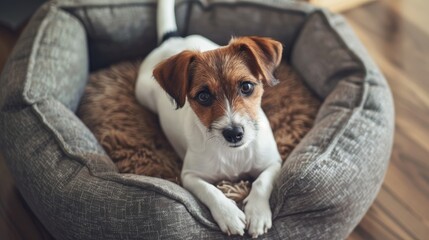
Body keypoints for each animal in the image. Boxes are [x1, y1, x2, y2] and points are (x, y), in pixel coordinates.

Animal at [134, 0, 280, 236]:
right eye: (203, 96)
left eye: (246, 87)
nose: (234, 133)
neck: (234, 155)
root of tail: (172, 39)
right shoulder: (190, 176)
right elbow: (210, 191)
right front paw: (229, 215)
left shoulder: (273, 163)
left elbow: (261, 182)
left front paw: (257, 213)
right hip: (143, 95)